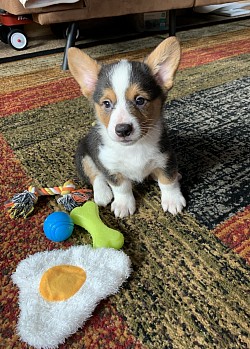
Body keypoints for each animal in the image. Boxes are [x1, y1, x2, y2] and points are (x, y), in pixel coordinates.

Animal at [68, 38, 186, 218]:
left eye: (140, 100)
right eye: (106, 103)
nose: (123, 129)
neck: (134, 147)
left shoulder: (166, 157)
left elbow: (168, 181)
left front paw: (172, 199)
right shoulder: (110, 166)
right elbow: (121, 186)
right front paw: (123, 204)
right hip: (83, 156)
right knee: (96, 176)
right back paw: (102, 193)